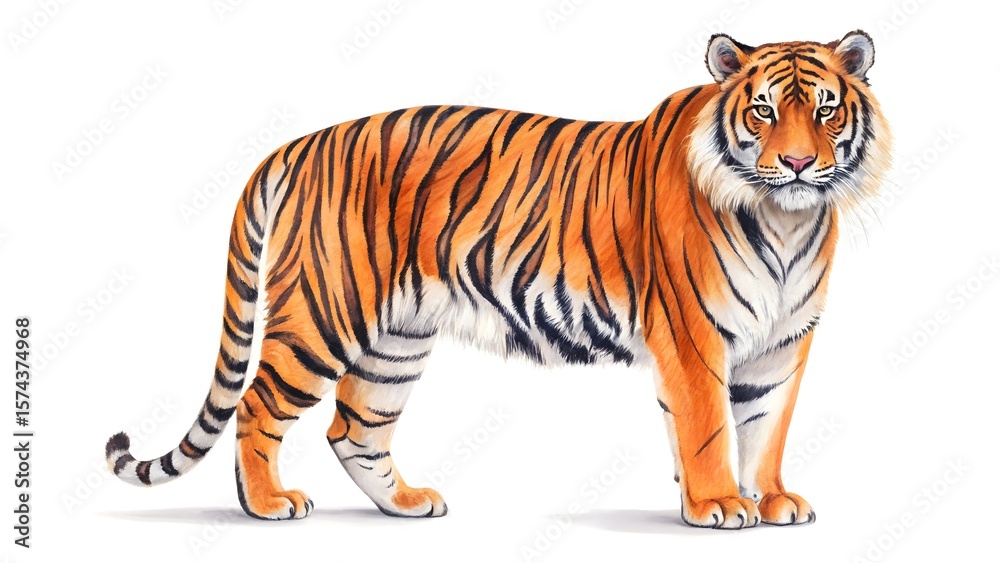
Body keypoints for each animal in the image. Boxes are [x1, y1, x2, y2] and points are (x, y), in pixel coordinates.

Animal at [105, 30, 890, 529]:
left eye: (825, 109)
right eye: (763, 110)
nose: (797, 163)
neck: (787, 222)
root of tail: (298, 145)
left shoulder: (782, 344)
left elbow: (767, 426)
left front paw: (773, 500)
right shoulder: (694, 336)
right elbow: (706, 428)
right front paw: (720, 505)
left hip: (395, 340)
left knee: (354, 427)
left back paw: (407, 504)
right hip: (323, 315)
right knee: (258, 403)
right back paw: (267, 504)